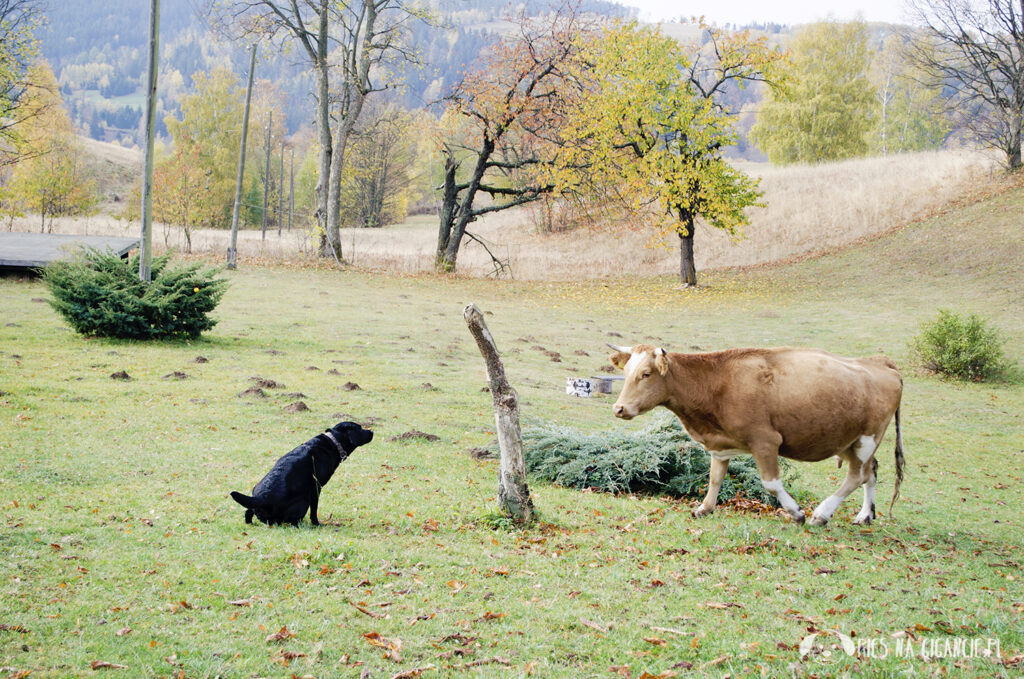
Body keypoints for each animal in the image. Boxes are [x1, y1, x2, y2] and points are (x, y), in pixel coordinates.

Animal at [230, 421, 374, 528]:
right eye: (360, 428)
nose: (372, 431)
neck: (333, 442)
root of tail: (262, 498)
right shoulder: (316, 488)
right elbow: (314, 510)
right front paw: (317, 524)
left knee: (248, 511)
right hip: (303, 502)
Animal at [606, 346, 905, 524]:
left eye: (646, 374)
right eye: (626, 372)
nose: (619, 408)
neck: (717, 382)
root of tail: (880, 362)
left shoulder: (765, 441)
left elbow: (771, 483)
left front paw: (796, 512)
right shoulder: (720, 444)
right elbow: (715, 478)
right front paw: (705, 507)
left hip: (867, 438)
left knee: (857, 476)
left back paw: (821, 514)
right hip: (847, 440)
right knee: (871, 471)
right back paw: (865, 514)